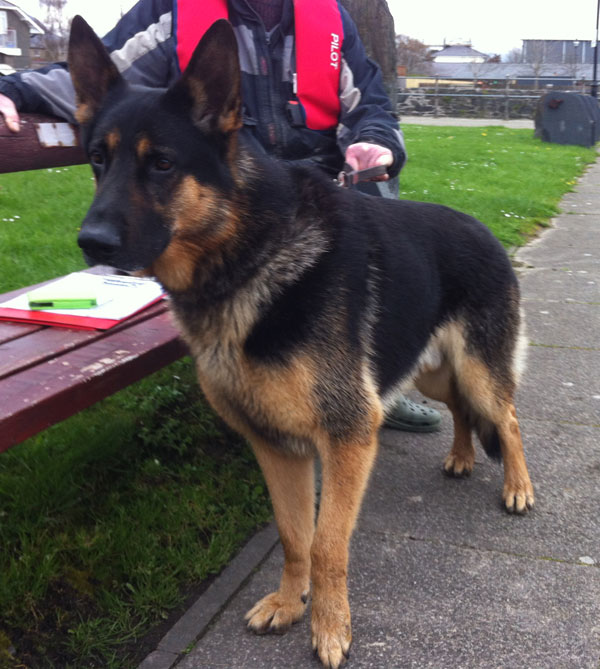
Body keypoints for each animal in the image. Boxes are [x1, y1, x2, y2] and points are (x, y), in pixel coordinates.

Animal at [68, 17, 532, 668]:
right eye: (96, 160)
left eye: (160, 163)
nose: (92, 244)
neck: (249, 253)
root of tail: (482, 226)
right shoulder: (276, 445)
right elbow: (294, 536)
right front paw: (291, 605)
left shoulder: (347, 436)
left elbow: (327, 544)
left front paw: (331, 629)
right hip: (434, 370)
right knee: (465, 410)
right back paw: (463, 456)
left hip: (476, 368)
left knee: (506, 417)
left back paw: (518, 487)